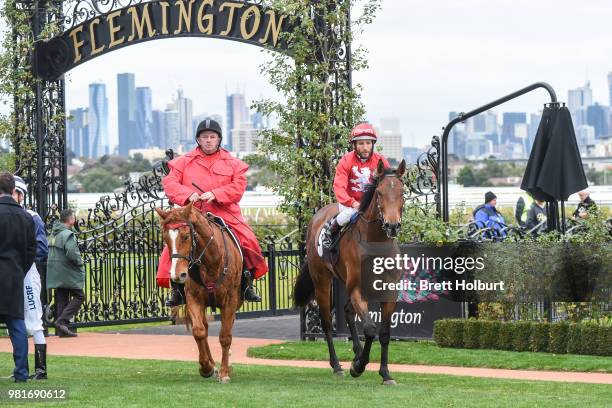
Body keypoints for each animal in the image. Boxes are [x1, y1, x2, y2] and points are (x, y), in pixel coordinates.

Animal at [157, 204, 243, 382]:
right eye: (166, 238)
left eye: (185, 236)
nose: (177, 275)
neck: (212, 262)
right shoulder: (194, 298)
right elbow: (199, 331)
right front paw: (206, 367)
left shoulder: (230, 300)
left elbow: (225, 335)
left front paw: (224, 372)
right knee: (205, 328)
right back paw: (211, 364)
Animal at [294, 159, 404, 386]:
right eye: (379, 193)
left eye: (402, 192)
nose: (392, 225)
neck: (375, 243)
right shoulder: (356, 290)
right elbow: (370, 329)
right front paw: (358, 366)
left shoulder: (389, 292)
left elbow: (384, 333)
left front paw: (385, 373)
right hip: (322, 281)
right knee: (327, 322)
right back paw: (338, 366)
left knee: (347, 311)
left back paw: (357, 353)